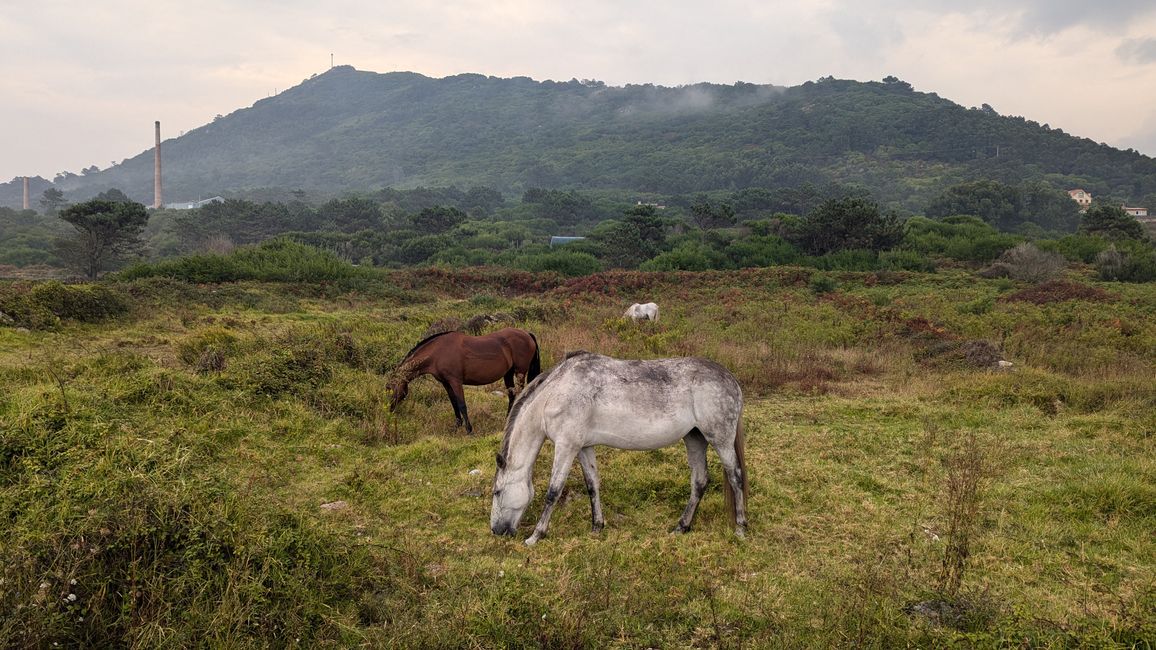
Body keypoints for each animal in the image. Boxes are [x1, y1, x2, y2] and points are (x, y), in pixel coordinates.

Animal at [388, 326, 541, 432]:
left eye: (389, 388)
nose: (390, 409)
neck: (438, 352)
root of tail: (527, 333)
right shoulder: (446, 383)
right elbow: (454, 403)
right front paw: (456, 426)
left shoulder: (455, 381)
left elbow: (461, 404)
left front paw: (469, 429)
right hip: (508, 374)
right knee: (511, 395)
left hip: (520, 372)